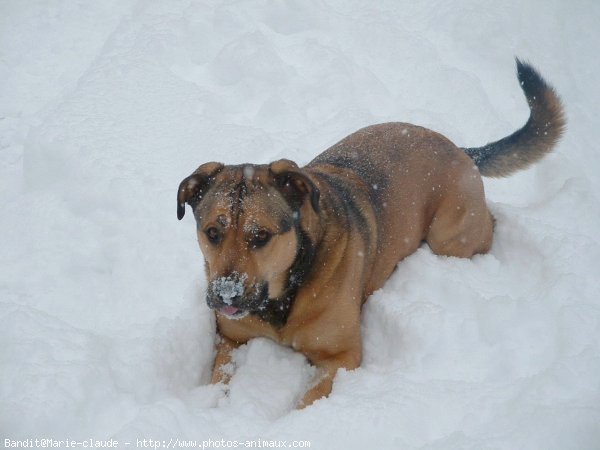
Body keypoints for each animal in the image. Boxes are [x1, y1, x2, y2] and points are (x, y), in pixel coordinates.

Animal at [177, 59, 564, 408]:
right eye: (212, 232)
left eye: (261, 236)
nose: (225, 294)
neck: (284, 293)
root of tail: (459, 148)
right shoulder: (228, 338)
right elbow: (218, 377)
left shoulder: (341, 356)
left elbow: (309, 401)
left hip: (450, 234)